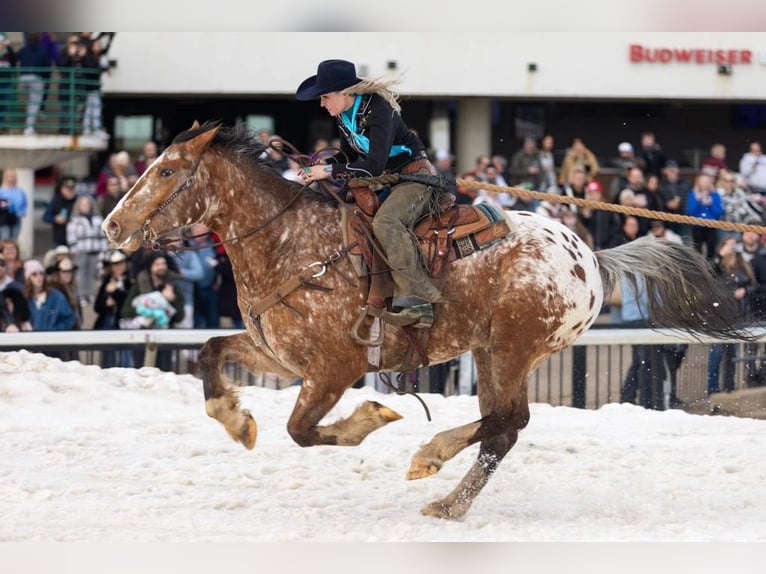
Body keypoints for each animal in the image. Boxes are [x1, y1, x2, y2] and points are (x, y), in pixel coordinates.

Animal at [102, 121, 752, 520]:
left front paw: (370, 419)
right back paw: (449, 502)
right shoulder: (278, 355)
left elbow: (304, 430)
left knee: (508, 420)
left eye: (166, 172)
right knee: (504, 427)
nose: (111, 225)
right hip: (491, 352)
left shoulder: (333, 368)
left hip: (513, 349)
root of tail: (590, 256)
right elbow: (212, 351)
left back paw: (432, 458)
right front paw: (237, 421)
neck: (291, 243)